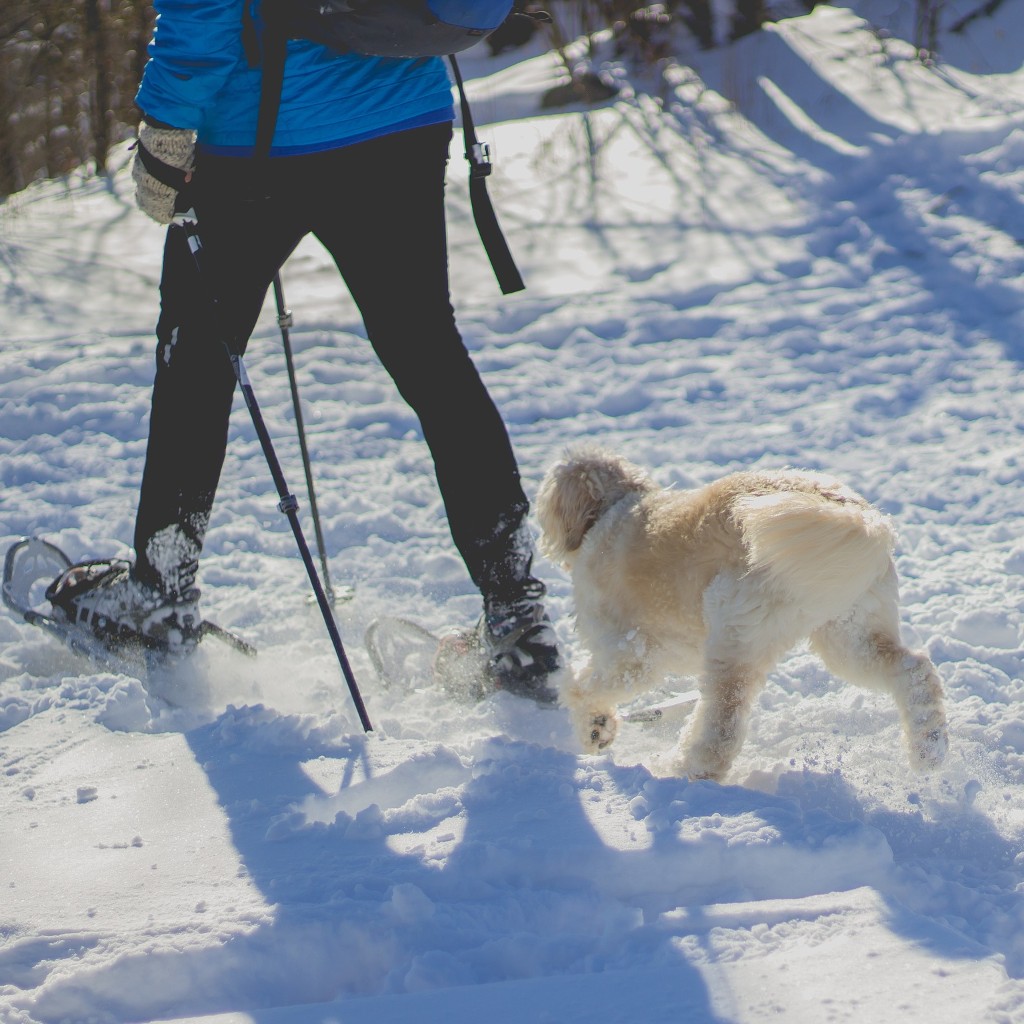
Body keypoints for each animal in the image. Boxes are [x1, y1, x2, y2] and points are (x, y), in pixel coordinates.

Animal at [540, 444, 946, 778]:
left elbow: (580, 687)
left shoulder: (630, 655)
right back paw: (929, 750)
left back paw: (683, 770)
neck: (613, 508)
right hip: (850, 634)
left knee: (722, 726)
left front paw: (594, 726)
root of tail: (856, 515)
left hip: (734, 635)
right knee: (914, 672)